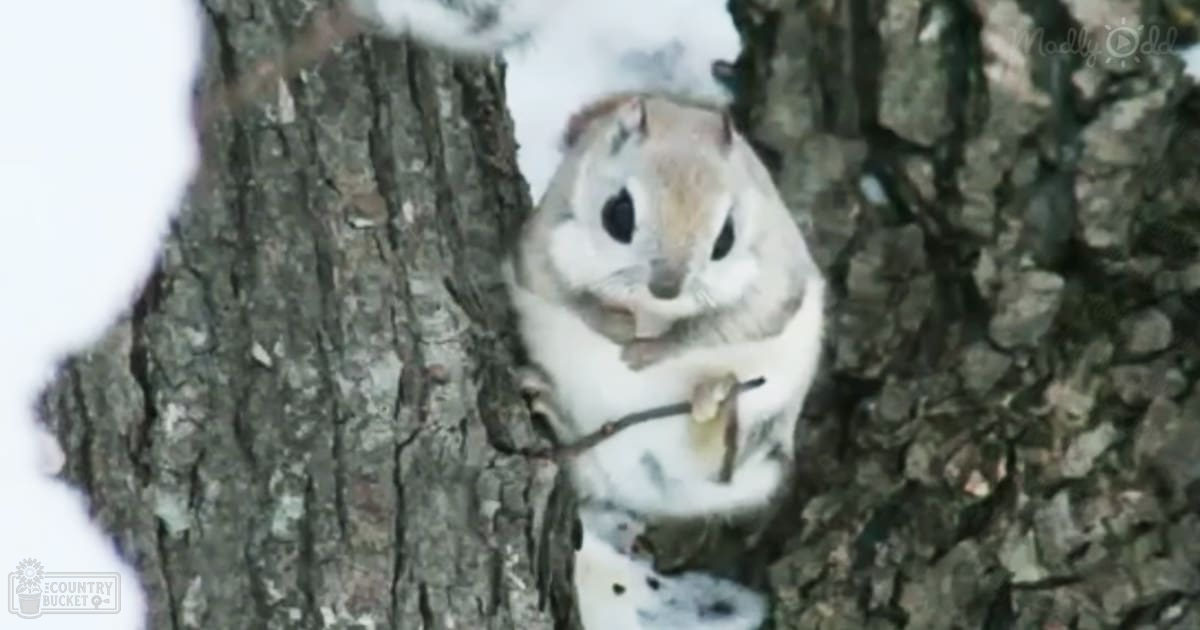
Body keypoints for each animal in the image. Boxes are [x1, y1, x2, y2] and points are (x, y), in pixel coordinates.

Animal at [505, 93, 826, 521]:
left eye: (726, 237)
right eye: (618, 213)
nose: (667, 288)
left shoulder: (774, 283)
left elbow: (724, 326)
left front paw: (648, 351)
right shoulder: (542, 246)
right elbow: (567, 296)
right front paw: (617, 327)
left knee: (722, 464)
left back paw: (717, 397)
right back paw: (548, 404)